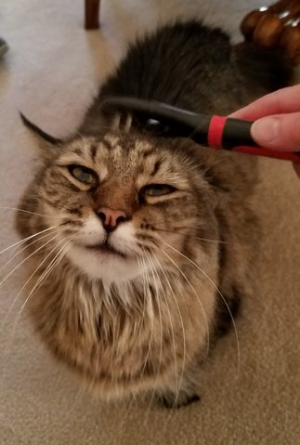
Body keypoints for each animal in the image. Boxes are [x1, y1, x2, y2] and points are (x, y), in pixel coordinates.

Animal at [14, 20, 292, 406]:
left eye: (157, 190)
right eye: (83, 174)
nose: (110, 216)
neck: (111, 317)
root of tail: (210, 33)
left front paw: (175, 389)